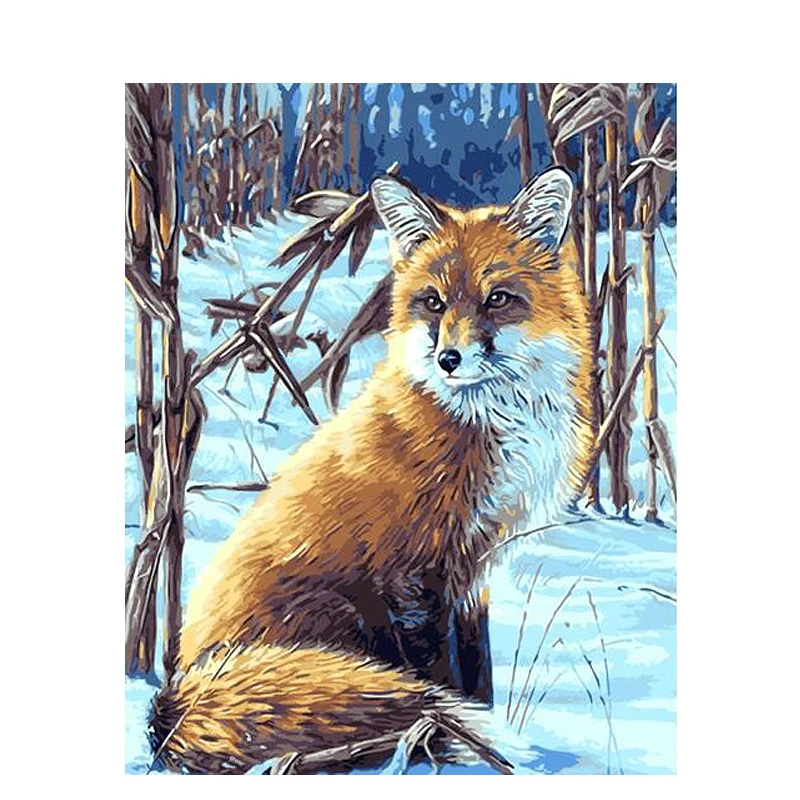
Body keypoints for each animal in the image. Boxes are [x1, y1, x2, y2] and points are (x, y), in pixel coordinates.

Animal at [149, 167, 595, 774]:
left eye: (498, 299)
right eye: (432, 303)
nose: (449, 359)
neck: (489, 421)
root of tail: (174, 699)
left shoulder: (474, 572)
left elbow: (478, 677)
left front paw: (479, 741)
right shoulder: (413, 573)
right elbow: (441, 677)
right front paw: (457, 746)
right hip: (341, 617)